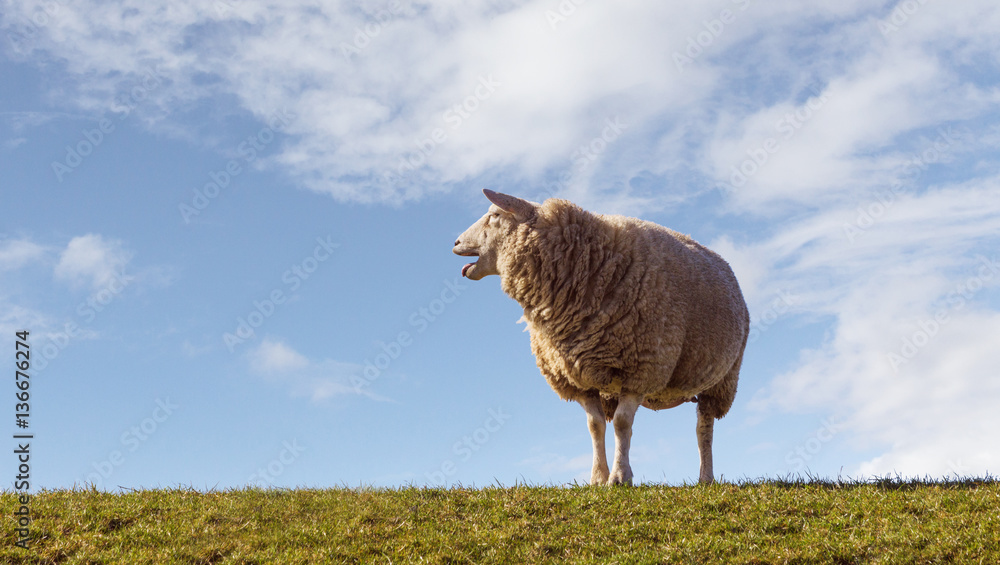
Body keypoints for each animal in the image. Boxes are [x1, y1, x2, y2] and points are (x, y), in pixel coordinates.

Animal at [453, 189, 749, 485]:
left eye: (495, 215)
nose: (455, 242)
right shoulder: (577, 379)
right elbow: (595, 426)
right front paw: (597, 478)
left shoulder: (640, 368)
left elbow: (621, 423)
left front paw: (619, 477)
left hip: (722, 380)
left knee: (704, 429)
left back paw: (705, 477)